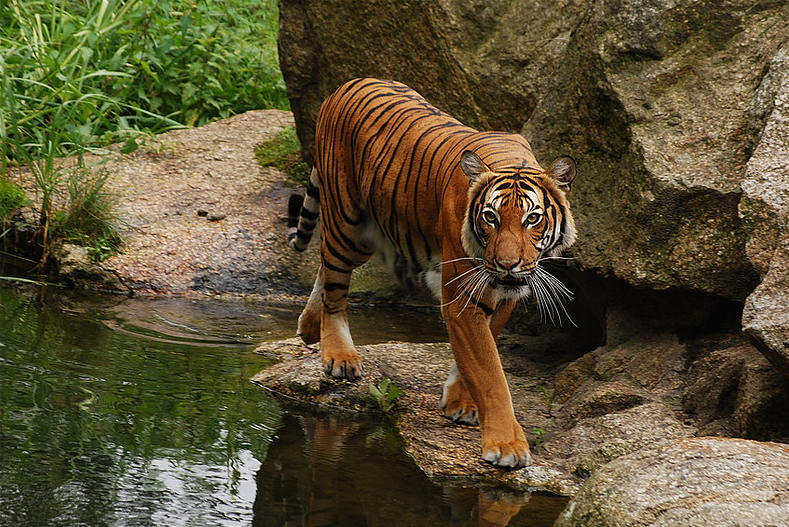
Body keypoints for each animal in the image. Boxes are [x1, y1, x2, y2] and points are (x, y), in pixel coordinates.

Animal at [286, 76, 576, 468]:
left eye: (533, 219)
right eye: (490, 217)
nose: (507, 264)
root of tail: (347, 84)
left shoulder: (504, 295)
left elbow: (480, 352)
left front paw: (461, 402)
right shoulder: (463, 294)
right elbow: (490, 372)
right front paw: (507, 445)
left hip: (360, 237)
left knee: (325, 267)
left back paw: (309, 326)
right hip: (348, 222)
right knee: (335, 286)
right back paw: (339, 355)